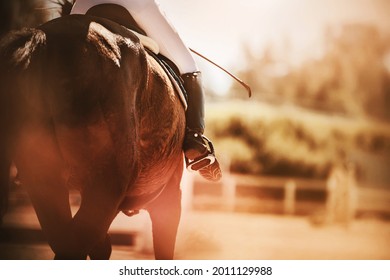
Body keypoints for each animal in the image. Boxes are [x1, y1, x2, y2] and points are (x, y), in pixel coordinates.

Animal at [0, 8, 186, 260]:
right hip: (106, 184)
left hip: (46, 181)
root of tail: (46, 40)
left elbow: (101, 245)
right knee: (74, 246)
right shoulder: (167, 197)